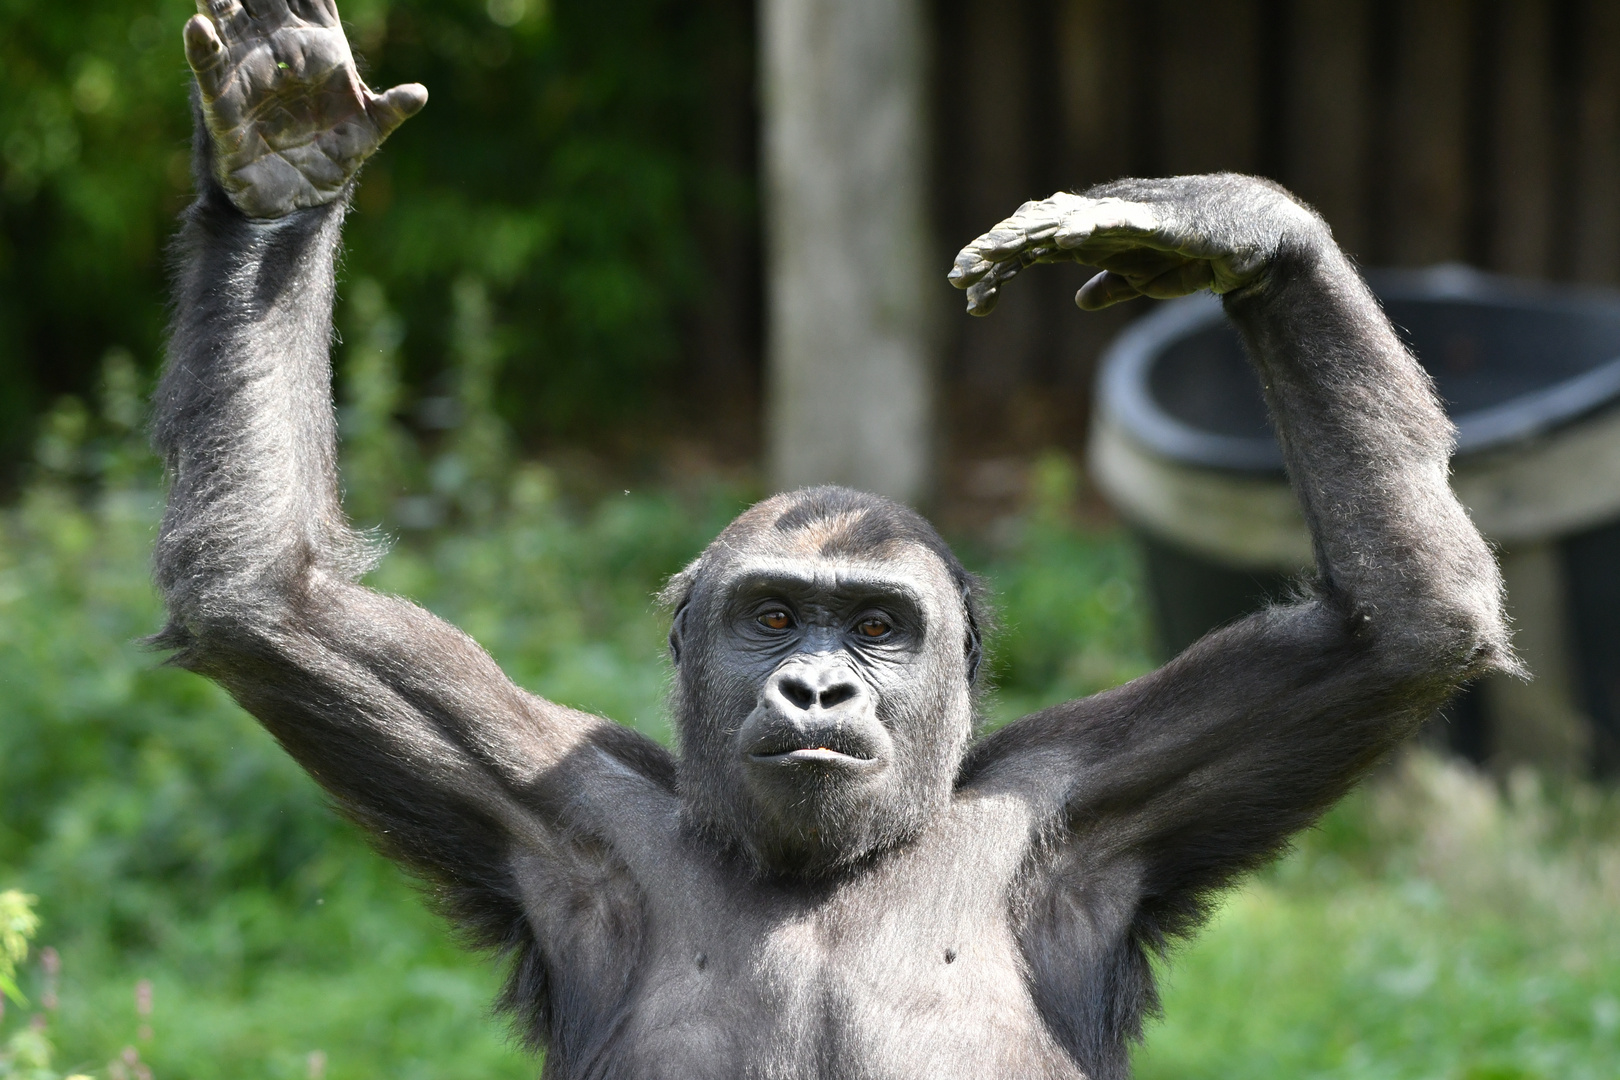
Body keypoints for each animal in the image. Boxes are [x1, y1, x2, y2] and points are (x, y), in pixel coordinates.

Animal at [154, 4, 1516, 1075]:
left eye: (874, 625)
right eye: (771, 617)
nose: (815, 685)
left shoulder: (1098, 805)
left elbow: (1399, 628)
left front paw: (1227, 225)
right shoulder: (549, 806)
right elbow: (272, 602)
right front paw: (284, 166)